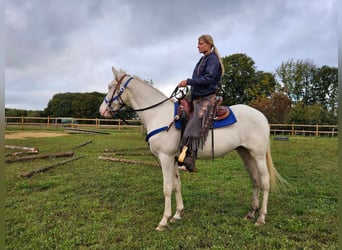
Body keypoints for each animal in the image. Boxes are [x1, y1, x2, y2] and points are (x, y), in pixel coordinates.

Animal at [100, 66, 288, 230]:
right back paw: (251, 213)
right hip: (246, 154)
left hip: (258, 155)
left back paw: (261, 217)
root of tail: (262, 116)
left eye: (110, 87)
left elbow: (167, 188)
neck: (160, 115)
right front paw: (177, 214)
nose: (102, 110)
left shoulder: (165, 158)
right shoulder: (174, 159)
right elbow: (177, 185)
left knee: (265, 181)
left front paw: (163, 221)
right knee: (255, 180)